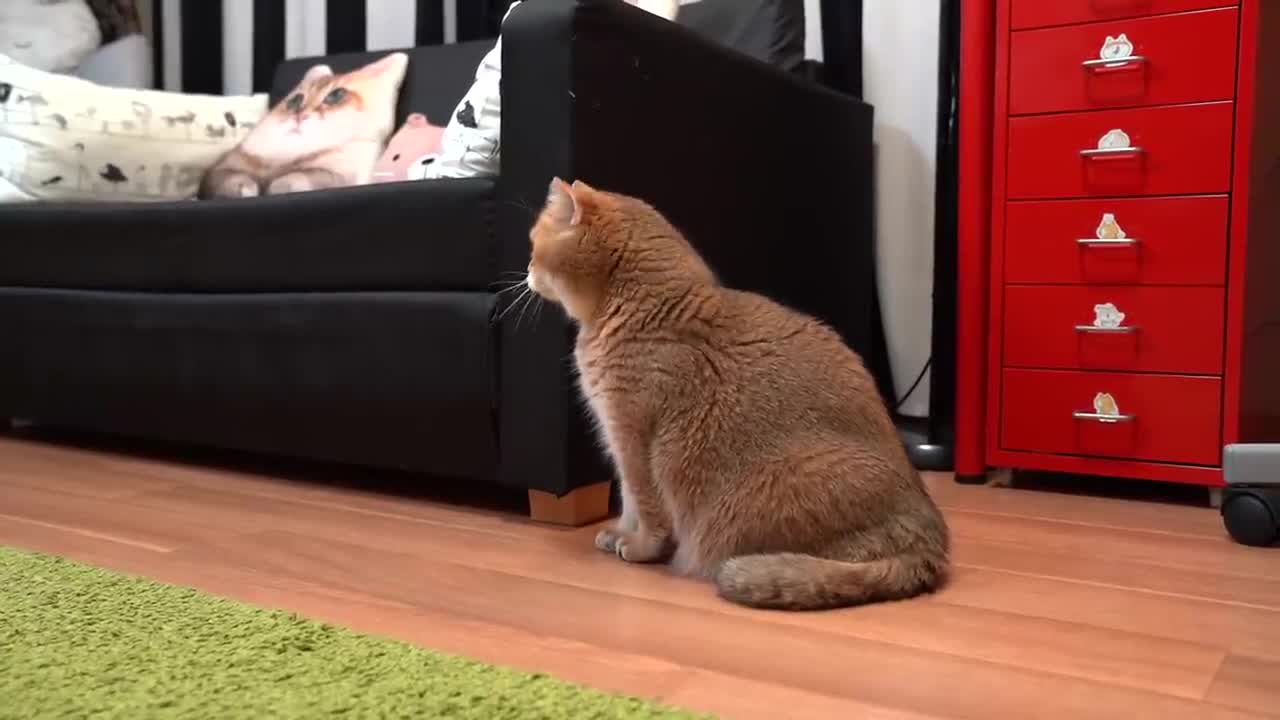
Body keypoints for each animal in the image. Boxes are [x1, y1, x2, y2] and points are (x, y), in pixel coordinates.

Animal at [199, 52, 404, 198]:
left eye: (336, 95)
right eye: (296, 99)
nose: (299, 114)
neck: (288, 157)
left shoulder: (339, 176)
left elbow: (300, 177)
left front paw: (276, 186)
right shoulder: (219, 170)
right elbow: (232, 177)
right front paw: (248, 188)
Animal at [524, 178, 957, 604]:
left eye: (533, 244)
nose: (526, 267)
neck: (643, 310)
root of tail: (929, 539)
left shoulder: (632, 438)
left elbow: (645, 504)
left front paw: (640, 547)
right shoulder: (616, 437)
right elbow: (628, 501)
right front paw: (619, 533)